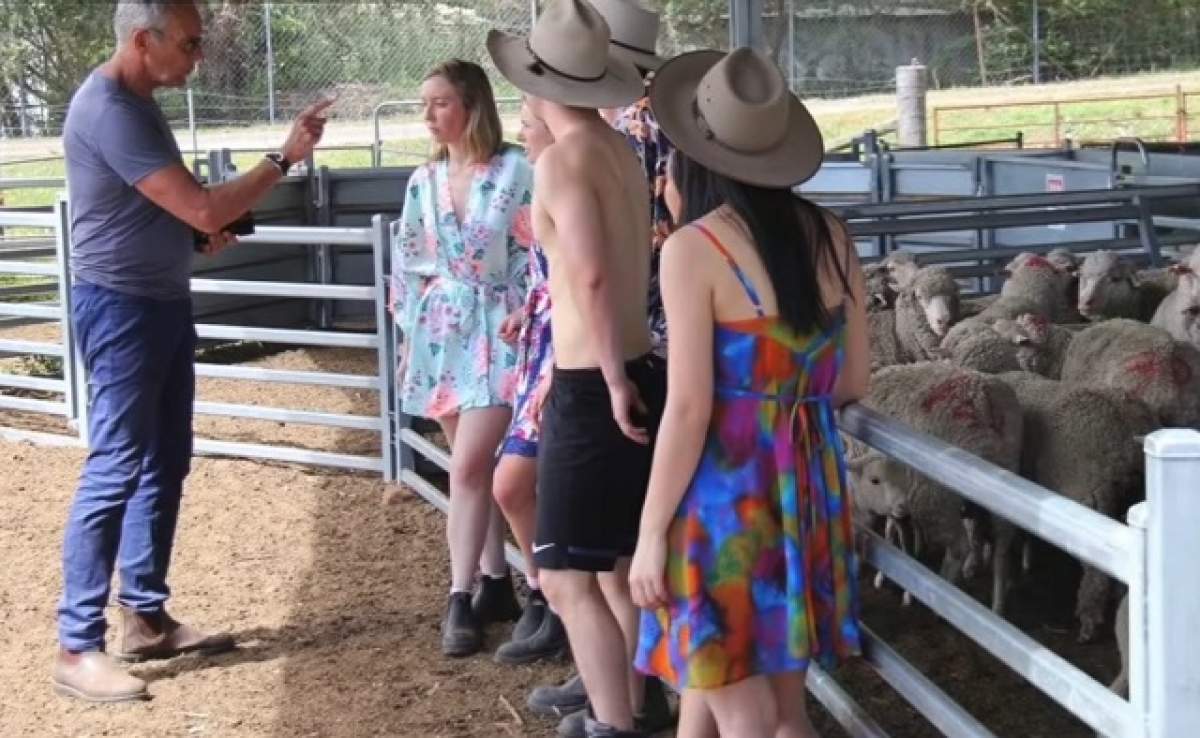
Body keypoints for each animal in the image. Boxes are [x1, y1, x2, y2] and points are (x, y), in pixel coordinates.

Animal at [844, 360, 1022, 614]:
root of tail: (984, 399)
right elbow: (891, 526)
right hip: (1005, 485)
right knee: (1002, 546)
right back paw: (997, 606)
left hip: (935, 496)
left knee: (959, 546)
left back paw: (944, 595)